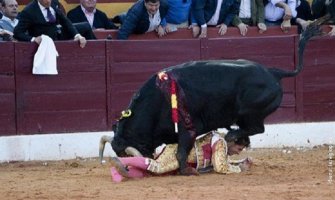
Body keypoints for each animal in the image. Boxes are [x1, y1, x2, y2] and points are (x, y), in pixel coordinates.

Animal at [100, 20, 330, 174]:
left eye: (127, 153)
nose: (130, 167)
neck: (157, 102)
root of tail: (274, 72)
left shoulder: (188, 129)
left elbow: (181, 153)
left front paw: (187, 171)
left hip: (250, 113)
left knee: (257, 128)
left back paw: (231, 134)